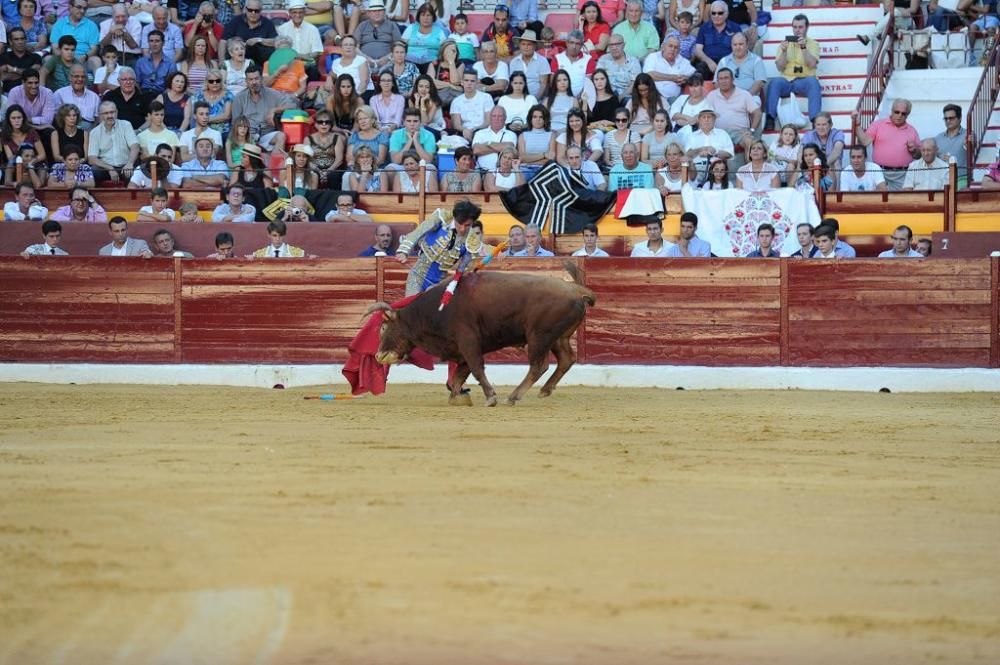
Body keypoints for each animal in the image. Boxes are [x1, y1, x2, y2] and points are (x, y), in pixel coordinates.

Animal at [372, 262, 596, 408]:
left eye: (383, 328)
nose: (378, 355)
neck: (437, 309)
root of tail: (576, 289)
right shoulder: (460, 349)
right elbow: (459, 376)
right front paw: (456, 398)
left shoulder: (468, 342)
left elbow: (476, 369)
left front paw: (491, 398)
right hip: (558, 338)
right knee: (566, 359)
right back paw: (544, 390)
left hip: (538, 336)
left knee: (538, 366)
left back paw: (513, 397)